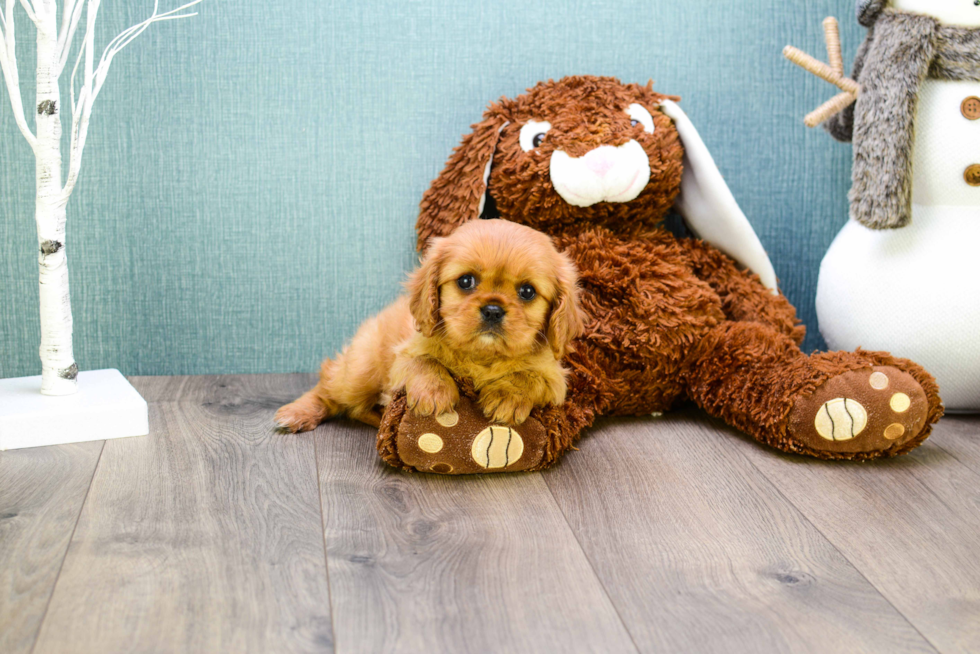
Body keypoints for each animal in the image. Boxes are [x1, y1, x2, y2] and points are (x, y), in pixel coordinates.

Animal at [274, 222, 580, 436]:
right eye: (466, 281)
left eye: (527, 291)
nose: (493, 309)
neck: (482, 356)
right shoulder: (403, 356)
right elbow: (425, 361)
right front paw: (435, 393)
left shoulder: (556, 380)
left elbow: (528, 377)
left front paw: (507, 396)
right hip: (359, 372)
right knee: (328, 388)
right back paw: (297, 413)